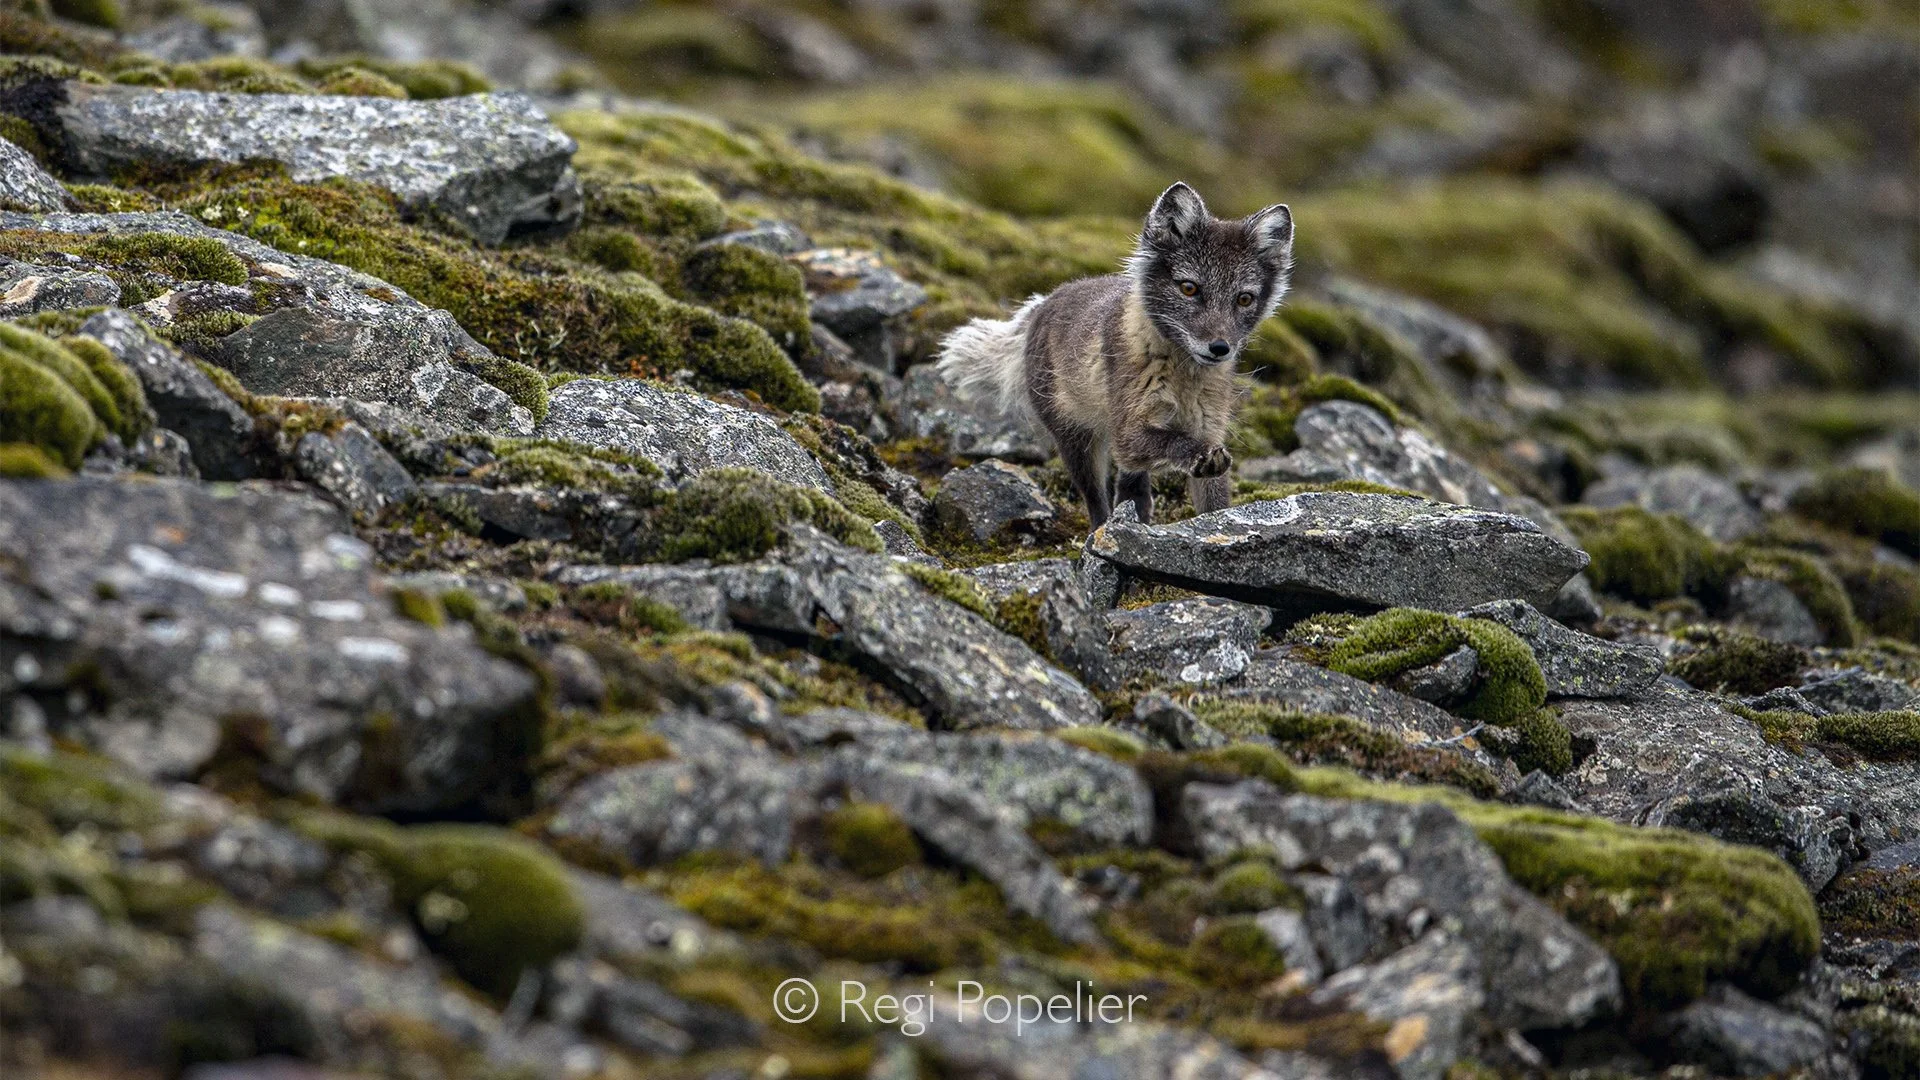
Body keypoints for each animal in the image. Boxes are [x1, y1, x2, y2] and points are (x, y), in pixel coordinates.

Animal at [935, 182, 1294, 527]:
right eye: (1189, 288)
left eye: (1244, 299)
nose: (1219, 348)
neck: (1183, 380)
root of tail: (1042, 304)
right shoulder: (1129, 429)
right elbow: (1172, 441)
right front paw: (1196, 456)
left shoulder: (1210, 426)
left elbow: (1215, 505)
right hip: (1077, 439)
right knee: (1097, 501)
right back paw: (1102, 531)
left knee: (1132, 485)